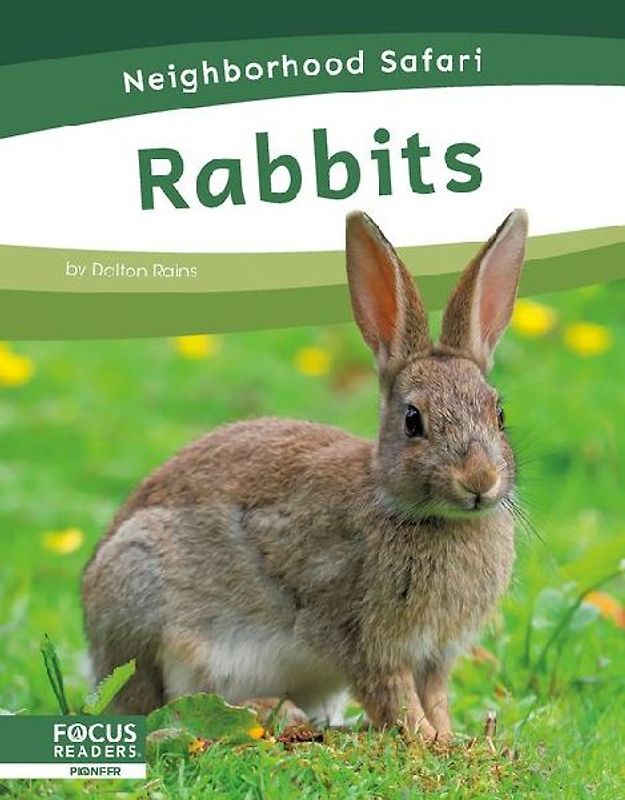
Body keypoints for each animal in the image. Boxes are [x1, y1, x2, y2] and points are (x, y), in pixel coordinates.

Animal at [82, 208, 528, 740]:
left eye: (499, 415)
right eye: (412, 420)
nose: (479, 480)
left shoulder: (436, 654)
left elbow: (435, 696)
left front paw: (453, 739)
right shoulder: (361, 638)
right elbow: (396, 697)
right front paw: (427, 740)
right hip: (143, 594)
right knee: (167, 705)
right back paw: (275, 713)